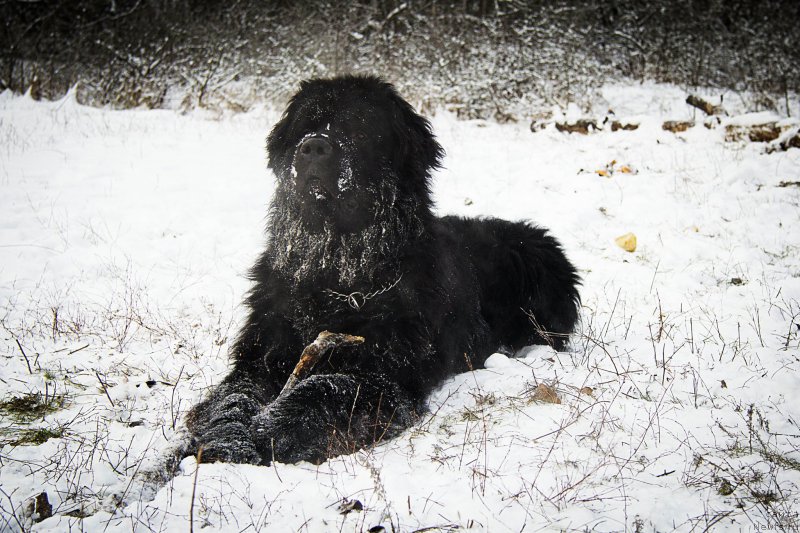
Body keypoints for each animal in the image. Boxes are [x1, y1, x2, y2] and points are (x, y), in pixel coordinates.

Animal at [184, 75, 580, 466]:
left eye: (359, 129)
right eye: (305, 125)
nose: (313, 147)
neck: (339, 272)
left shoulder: (388, 375)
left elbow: (326, 388)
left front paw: (269, 429)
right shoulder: (262, 354)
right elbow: (235, 396)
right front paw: (222, 441)